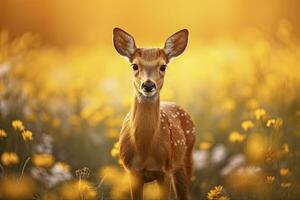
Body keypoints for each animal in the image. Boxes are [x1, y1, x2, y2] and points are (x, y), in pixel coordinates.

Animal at [113, 27, 196, 200]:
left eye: (163, 66)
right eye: (134, 65)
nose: (148, 85)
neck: (144, 149)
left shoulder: (165, 170)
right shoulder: (131, 171)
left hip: (186, 159)